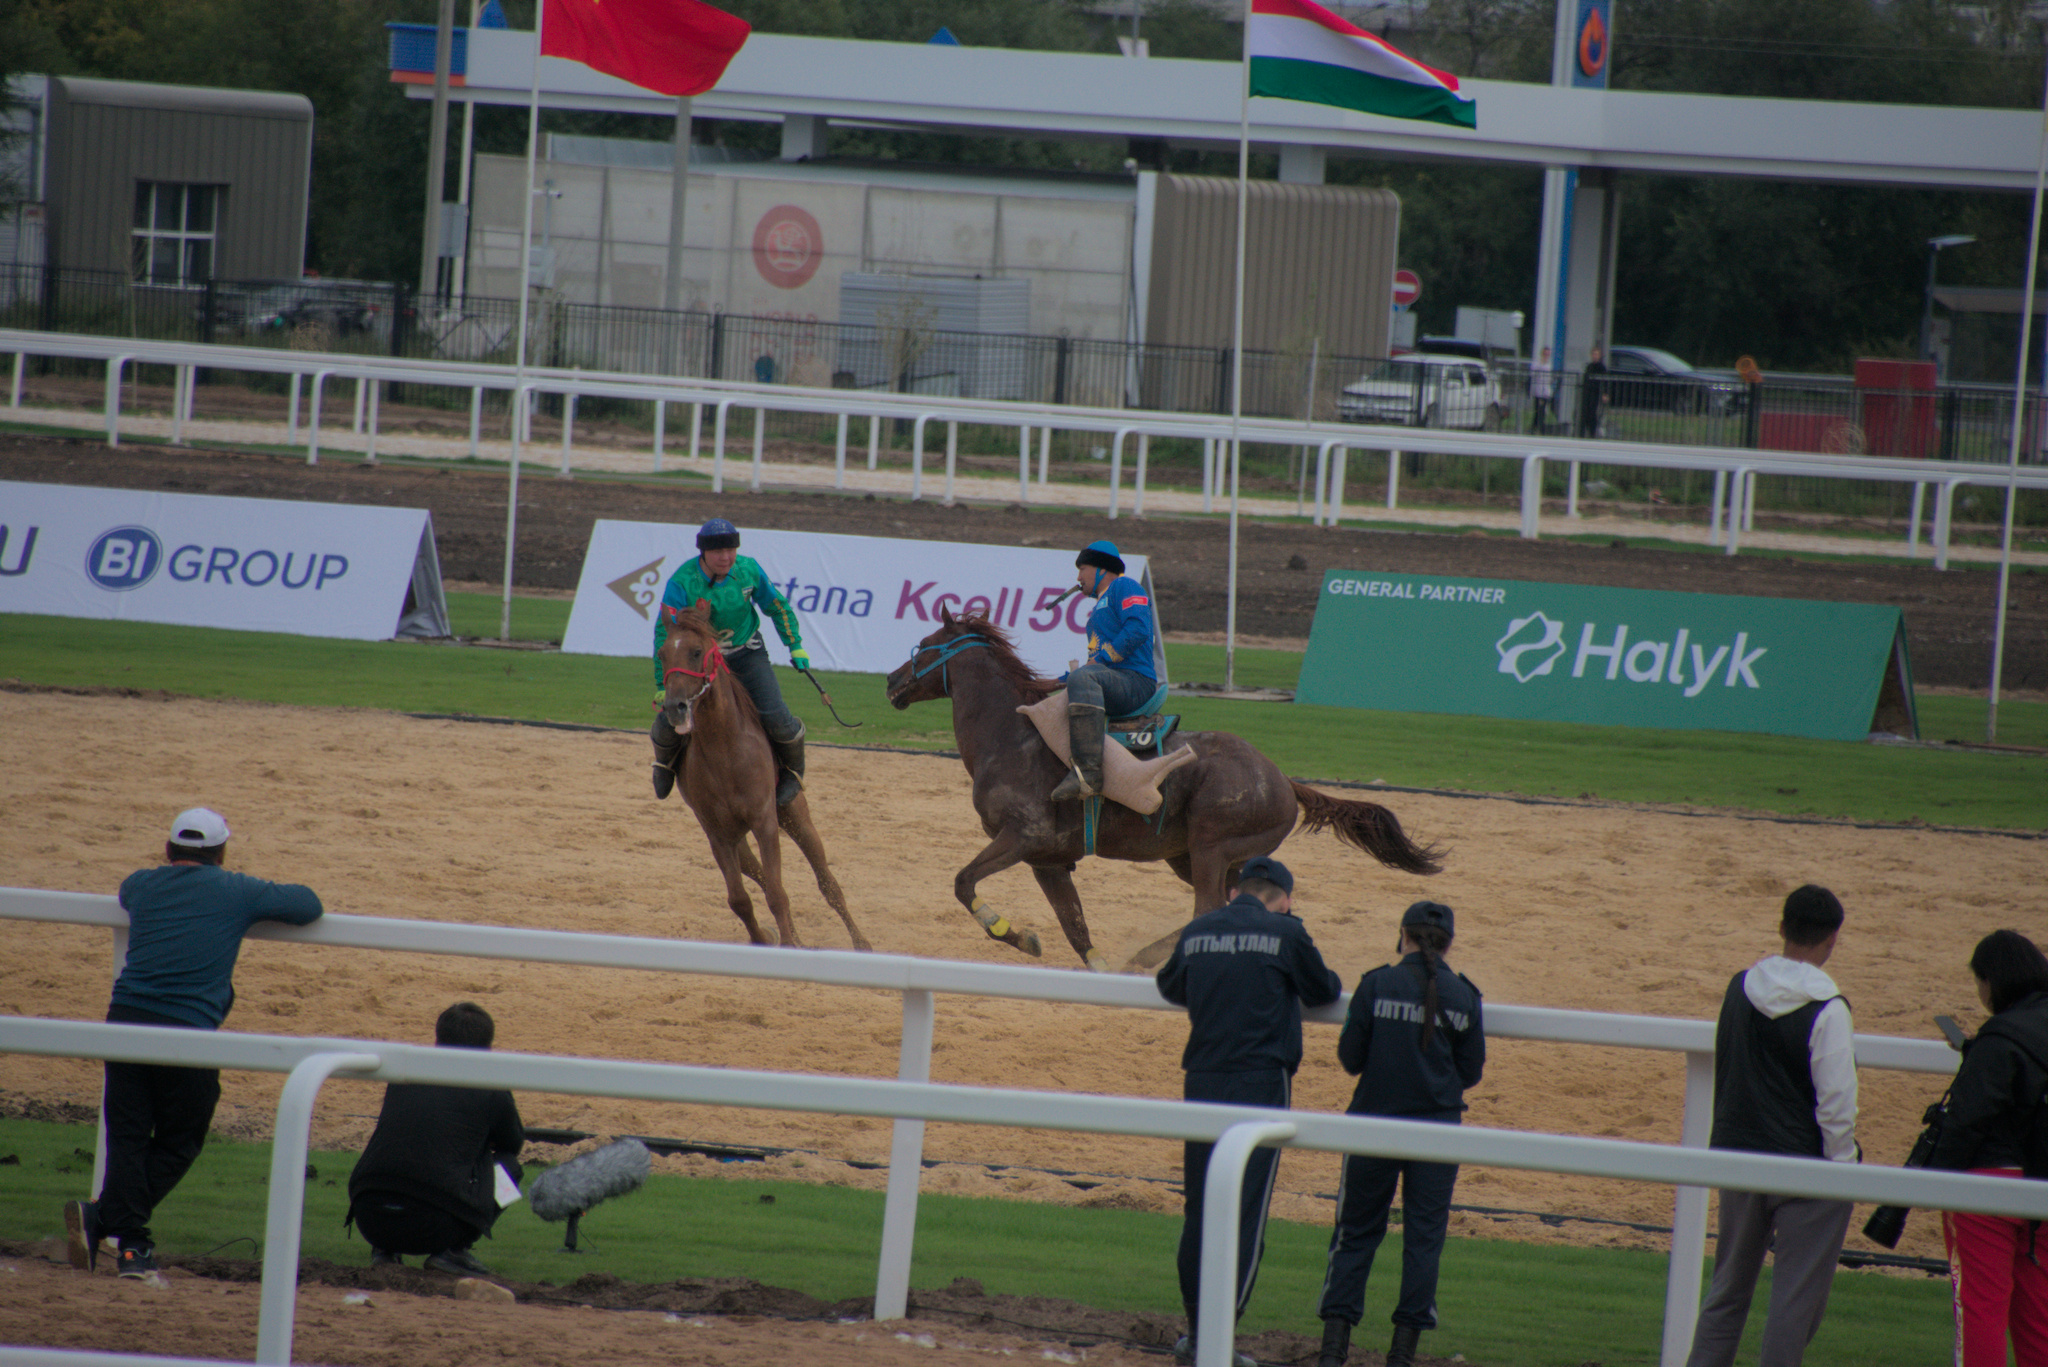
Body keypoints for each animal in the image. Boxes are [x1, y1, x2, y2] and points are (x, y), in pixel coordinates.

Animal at [663, 602, 872, 950]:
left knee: (827, 883)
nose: (673, 707)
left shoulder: (764, 821)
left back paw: (861, 944)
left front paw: (788, 942)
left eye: (696, 652)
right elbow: (741, 899)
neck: (724, 750)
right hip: (738, 839)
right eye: (663, 653)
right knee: (759, 874)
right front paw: (767, 938)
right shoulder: (718, 835)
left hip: (795, 816)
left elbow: (777, 893)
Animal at [880, 610, 1441, 971]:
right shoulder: (1048, 859)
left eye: (924, 646)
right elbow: (1075, 928)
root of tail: (1282, 778)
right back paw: (1145, 956)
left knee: (1209, 908)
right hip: (1198, 856)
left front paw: (1008, 931)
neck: (1012, 734)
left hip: (1212, 847)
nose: (889, 681)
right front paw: (1049, 946)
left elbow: (963, 882)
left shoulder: (1022, 837)